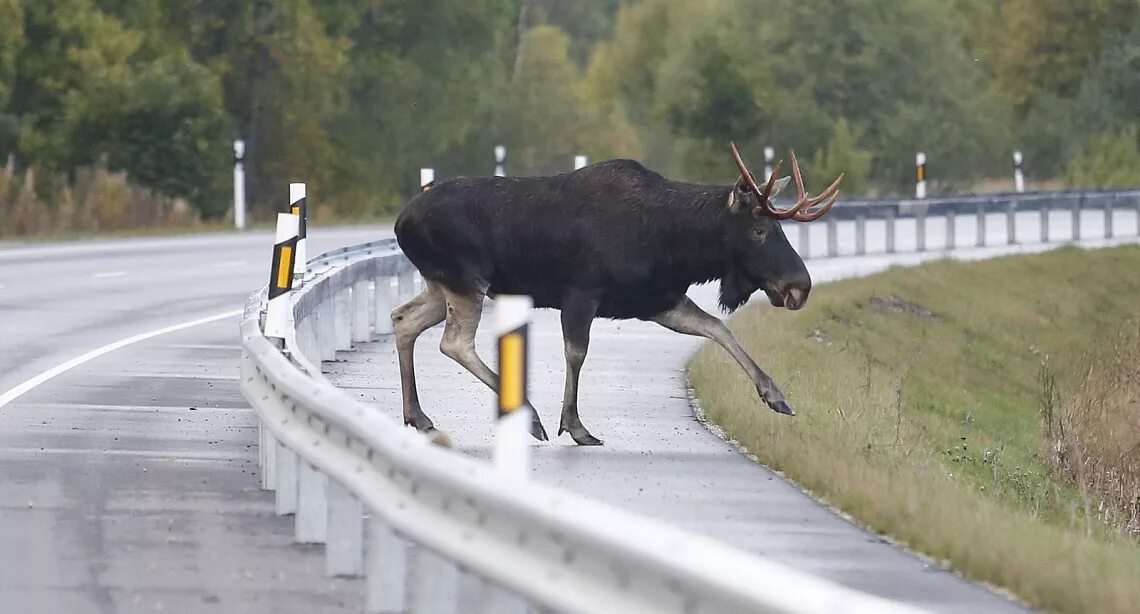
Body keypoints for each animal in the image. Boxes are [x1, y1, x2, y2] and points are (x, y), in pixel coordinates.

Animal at [392, 146, 848, 448]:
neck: (676, 245)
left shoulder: (656, 301)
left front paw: (776, 396)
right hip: (466, 280)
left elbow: (718, 328)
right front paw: (575, 426)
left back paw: (419, 416)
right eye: (759, 230)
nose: (799, 286)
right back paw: (529, 417)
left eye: (779, 228)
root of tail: (400, 221)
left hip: (440, 285)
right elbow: (576, 353)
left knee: (403, 319)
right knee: (454, 342)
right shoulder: (580, 293)